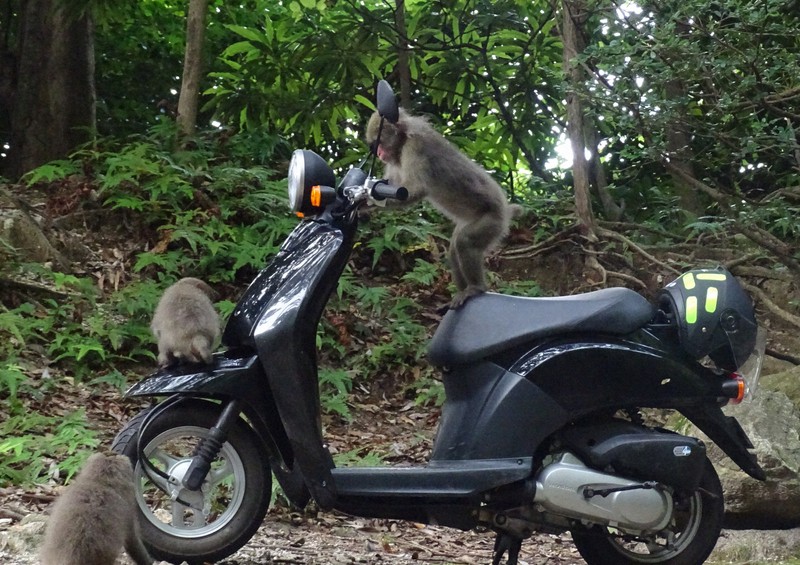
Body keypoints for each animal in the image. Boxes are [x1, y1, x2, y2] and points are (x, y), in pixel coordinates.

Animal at [366, 109, 521, 308]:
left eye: (380, 143)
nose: (378, 153)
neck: (403, 140)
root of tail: (505, 210)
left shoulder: (415, 147)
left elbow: (412, 190)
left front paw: (362, 200)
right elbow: (392, 185)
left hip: (493, 222)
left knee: (464, 242)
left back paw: (476, 288)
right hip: (470, 222)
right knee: (455, 248)